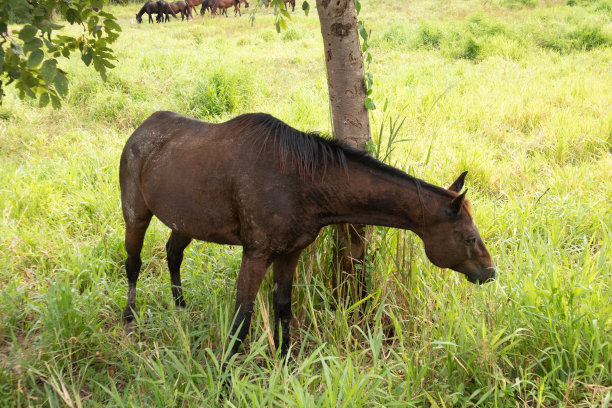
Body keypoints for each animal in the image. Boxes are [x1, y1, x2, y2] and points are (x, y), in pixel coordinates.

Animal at [120, 112, 498, 370]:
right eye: (469, 237)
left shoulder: (291, 253)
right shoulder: (256, 255)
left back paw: (180, 308)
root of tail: (142, 129)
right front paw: (224, 378)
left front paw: (284, 362)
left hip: (185, 222)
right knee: (133, 263)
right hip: (136, 215)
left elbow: (283, 308)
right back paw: (129, 318)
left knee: (173, 255)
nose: (490, 272)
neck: (302, 180)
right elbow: (242, 319)